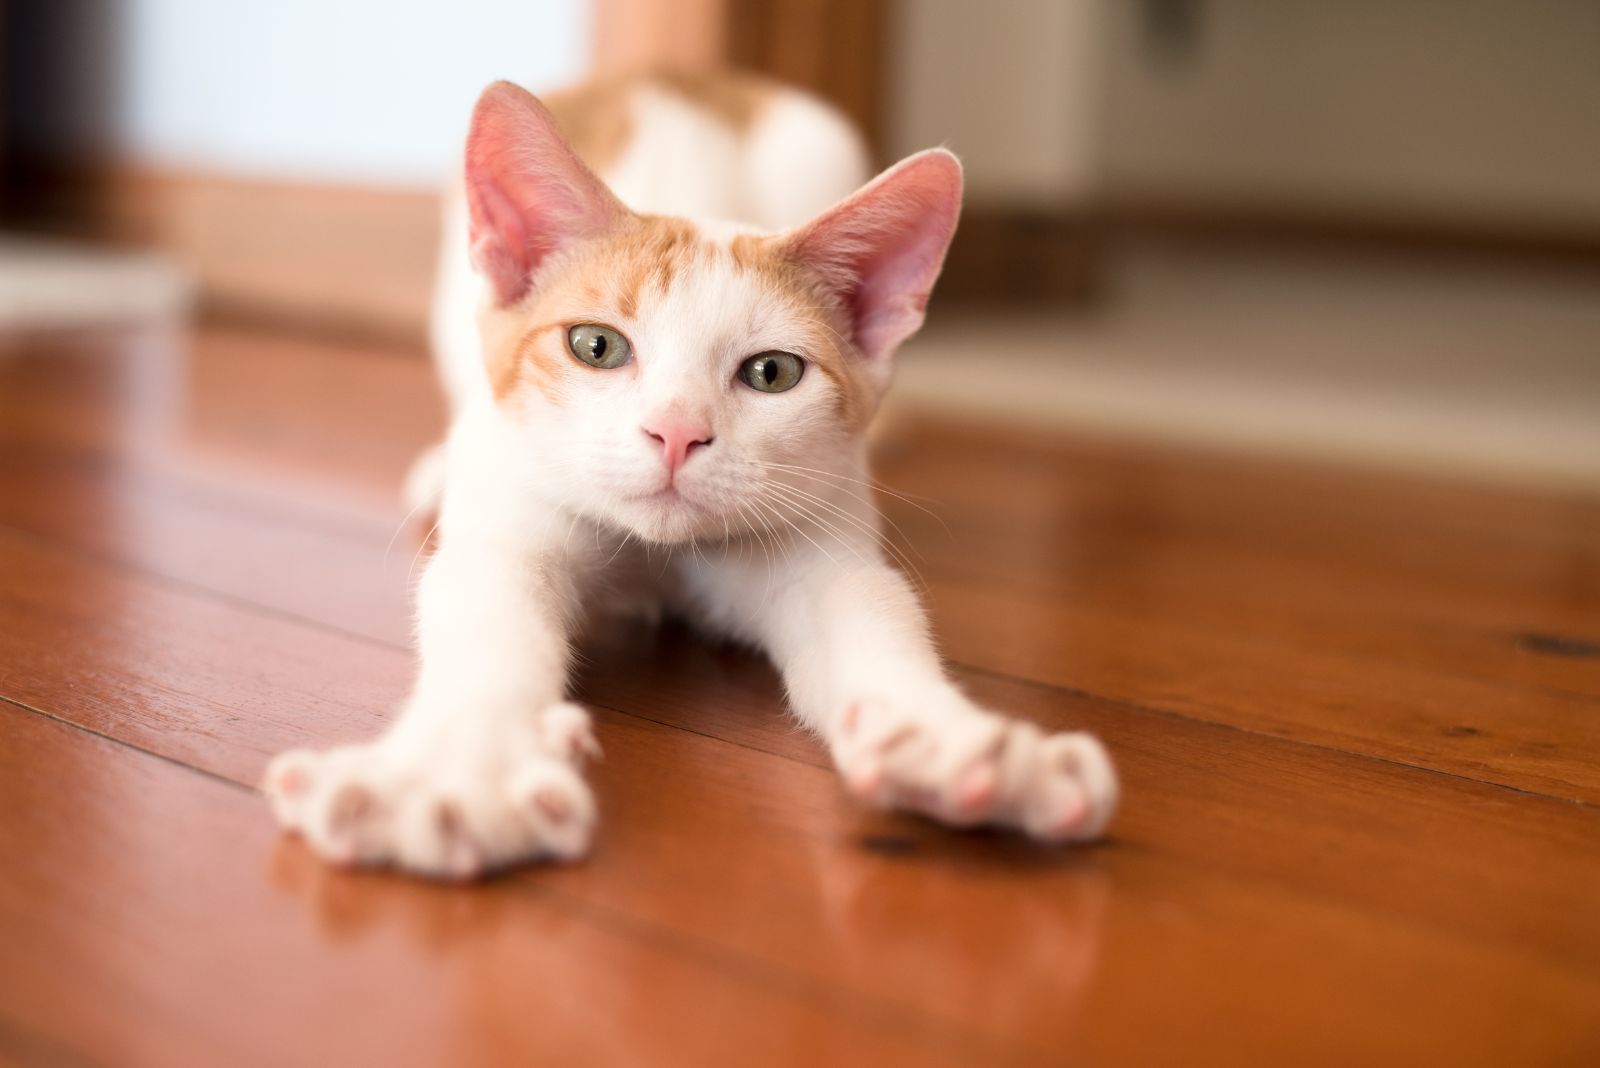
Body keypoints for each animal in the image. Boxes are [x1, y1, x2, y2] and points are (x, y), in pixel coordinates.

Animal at [262, 73, 1120, 876]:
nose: (676, 433)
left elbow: (873, 614)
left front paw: (948, 737)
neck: (658, 555)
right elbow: (487, 622)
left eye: (773, 373)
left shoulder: (823, 541)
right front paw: (457, 773)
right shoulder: (511, 522)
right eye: (596, 346)